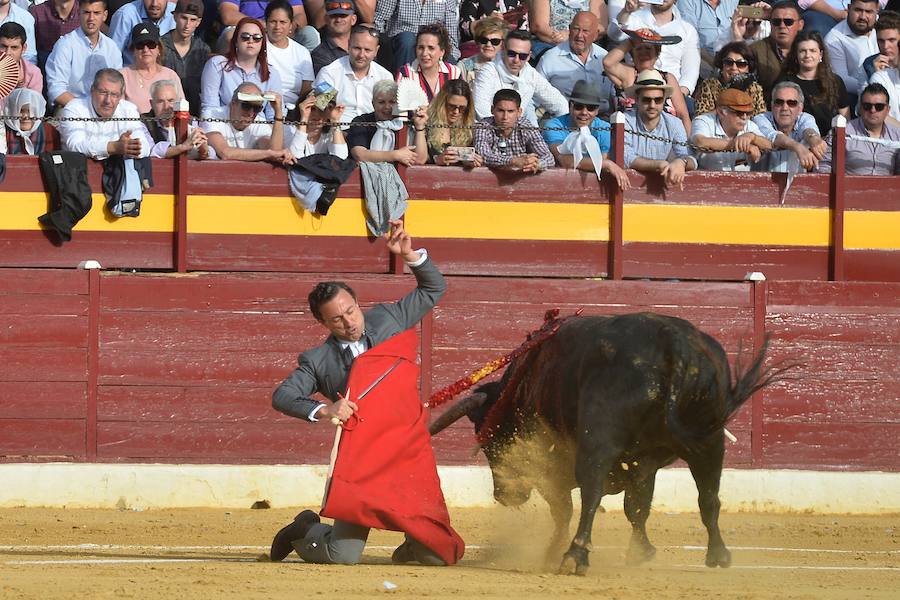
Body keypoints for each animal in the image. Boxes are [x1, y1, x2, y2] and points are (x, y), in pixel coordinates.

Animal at [428, 312, 780, 576]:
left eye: (490, 443)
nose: (503, 495)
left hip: (598, 441)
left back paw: (574, 556)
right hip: (710, 439)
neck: (521, 386)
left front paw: (553, 551)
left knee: (591, 491)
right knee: (709, 497)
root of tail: (673, 341)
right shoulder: (643, 462)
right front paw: (641, 552)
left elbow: (565, 510)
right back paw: (718, 555)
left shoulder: (553, 467)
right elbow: (637, 507)